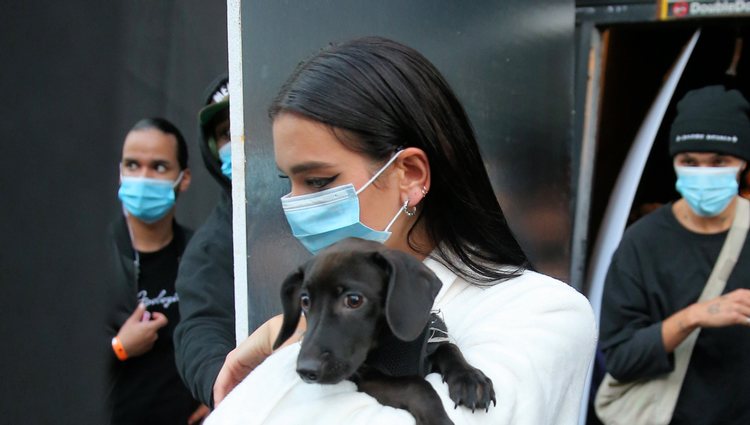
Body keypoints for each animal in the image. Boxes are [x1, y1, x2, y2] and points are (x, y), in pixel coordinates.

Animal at [274, 237, 496, 422]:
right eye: (305, 301)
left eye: (354, 300)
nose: (305, 371)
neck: (393, 342)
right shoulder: (369, 380)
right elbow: (416, 385)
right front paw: (437, 420)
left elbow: (449, 348)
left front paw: (470, 378)